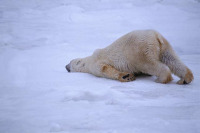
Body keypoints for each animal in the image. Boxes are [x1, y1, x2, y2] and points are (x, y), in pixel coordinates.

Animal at [65, 30, 194, 84]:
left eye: (71, 62)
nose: (66, 66)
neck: (88, 59)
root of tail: (156, 36)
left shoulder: (96, 62)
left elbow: (105, 69)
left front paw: (126, 76)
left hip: (139, 51)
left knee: (149, 64)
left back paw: (161, 79)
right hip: (165, 46)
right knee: (172, 60)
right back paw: (185, 79)